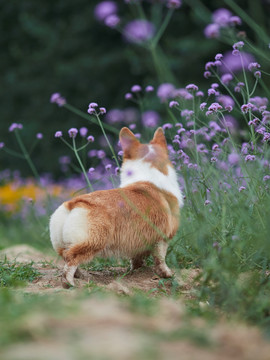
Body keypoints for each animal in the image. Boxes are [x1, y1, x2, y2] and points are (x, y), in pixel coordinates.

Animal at [49, 126, 182, 286]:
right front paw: (167, 274)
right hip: (93, 242)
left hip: (62, 245)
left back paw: (81, 276)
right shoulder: (162, 238)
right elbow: (161, 259)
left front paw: (136, 270)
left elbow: (137, 259)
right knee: (71, 260)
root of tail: (73, 204)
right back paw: (69, 284)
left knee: (66, 257)